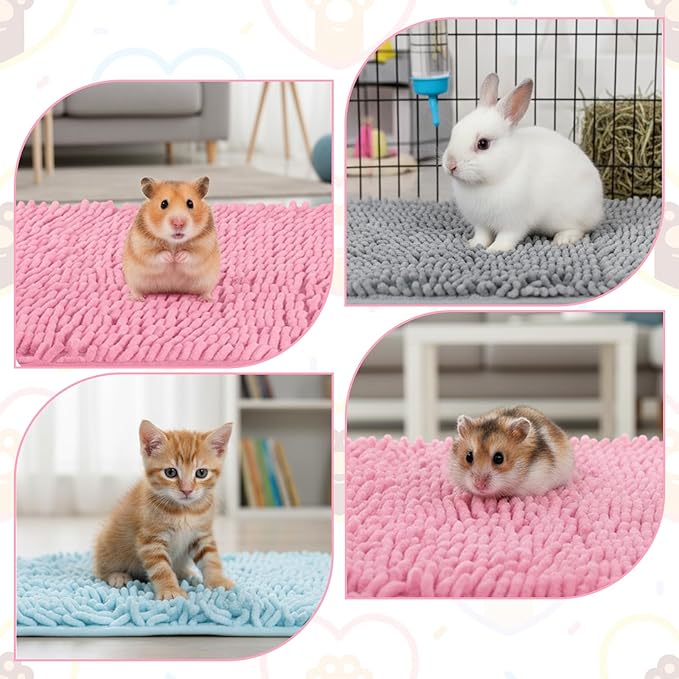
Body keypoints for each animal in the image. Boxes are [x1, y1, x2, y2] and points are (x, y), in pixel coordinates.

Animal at [441, 73, 604, 252]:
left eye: (483, 143)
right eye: (454, 131)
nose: (450, 165)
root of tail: (599, 207)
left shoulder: (513, 223)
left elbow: (506, 237)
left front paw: (495, 249)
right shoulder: (481, 224)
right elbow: (482, 235)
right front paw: (474, 244)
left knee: (580, 228)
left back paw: (563, 239)